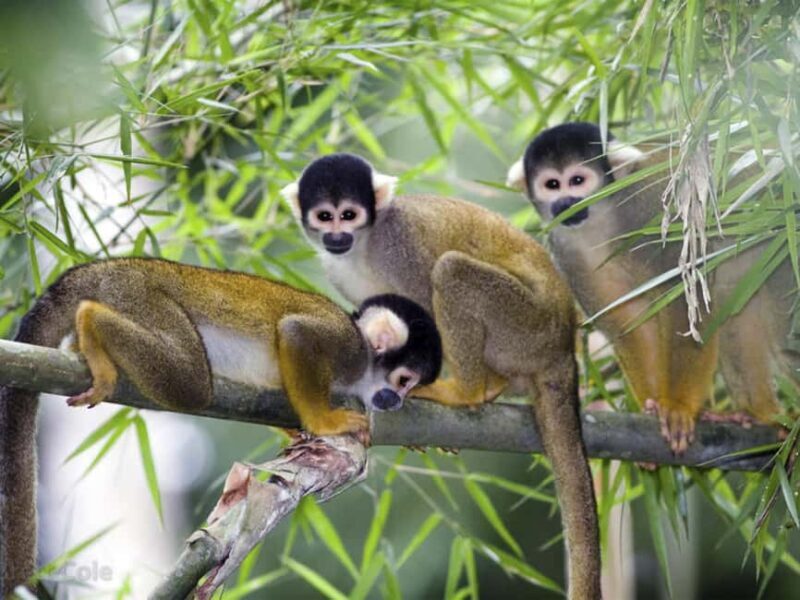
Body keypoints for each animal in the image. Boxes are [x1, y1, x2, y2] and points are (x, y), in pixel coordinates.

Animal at [0, 257, 442, 595]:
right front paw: (324, 420)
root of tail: (109, 266)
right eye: (404, 380)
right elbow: (296, 332)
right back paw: (91, 322)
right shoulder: (346, 347)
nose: (398, 400)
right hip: (141, 297)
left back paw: (88, 344)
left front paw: (298, 431)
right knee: (190, 384)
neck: (363, 363)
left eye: (413, 386)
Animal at [282, 153, 602, 600]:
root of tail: (563, 347)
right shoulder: (336, 268)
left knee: (450, 271)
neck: (364, 244)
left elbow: (423, 307)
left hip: (527, 326)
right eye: (324, 216)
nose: (336, 236)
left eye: (349, 214)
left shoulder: (398, 244)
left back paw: (469, 389)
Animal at [506, 121, 798, 454]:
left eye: (577, 181)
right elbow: (629, 322)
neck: (603, 220)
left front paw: (679, 407)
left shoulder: (649, 214)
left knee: (785, 340)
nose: (565, 204)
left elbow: (686, 306)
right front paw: (654, 405)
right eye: (552, 184)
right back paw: (764, 414)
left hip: (783, 254)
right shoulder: (566, 253)